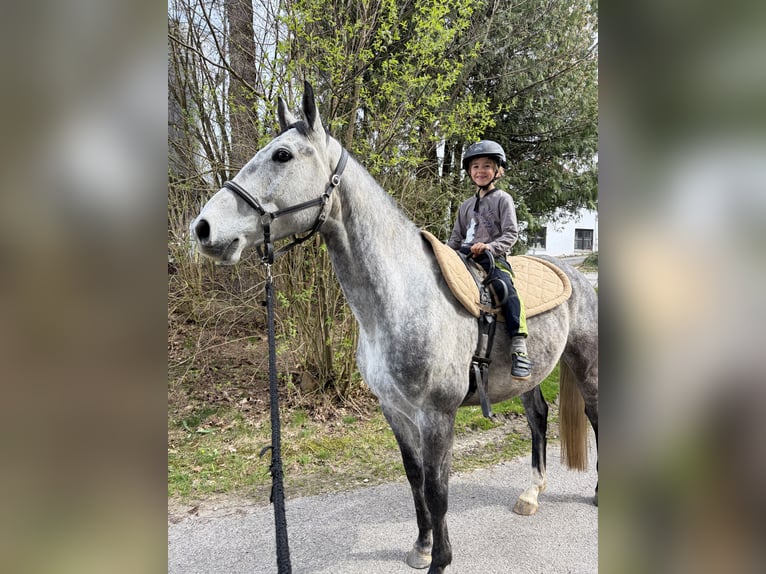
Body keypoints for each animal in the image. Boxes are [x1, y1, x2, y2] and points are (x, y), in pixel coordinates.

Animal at [191, 82, 598, 573]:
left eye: (282, 155)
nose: (203, 228)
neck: (400, 300)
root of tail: (575, 275)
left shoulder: (436, 416)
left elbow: (438, 491)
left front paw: (440, 560)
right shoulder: (395, 411)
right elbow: (415, 478)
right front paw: (422, 546)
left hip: (588, 368)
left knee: (596, 417)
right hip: (532, 376)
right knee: (538, 418)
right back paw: (531, 493)